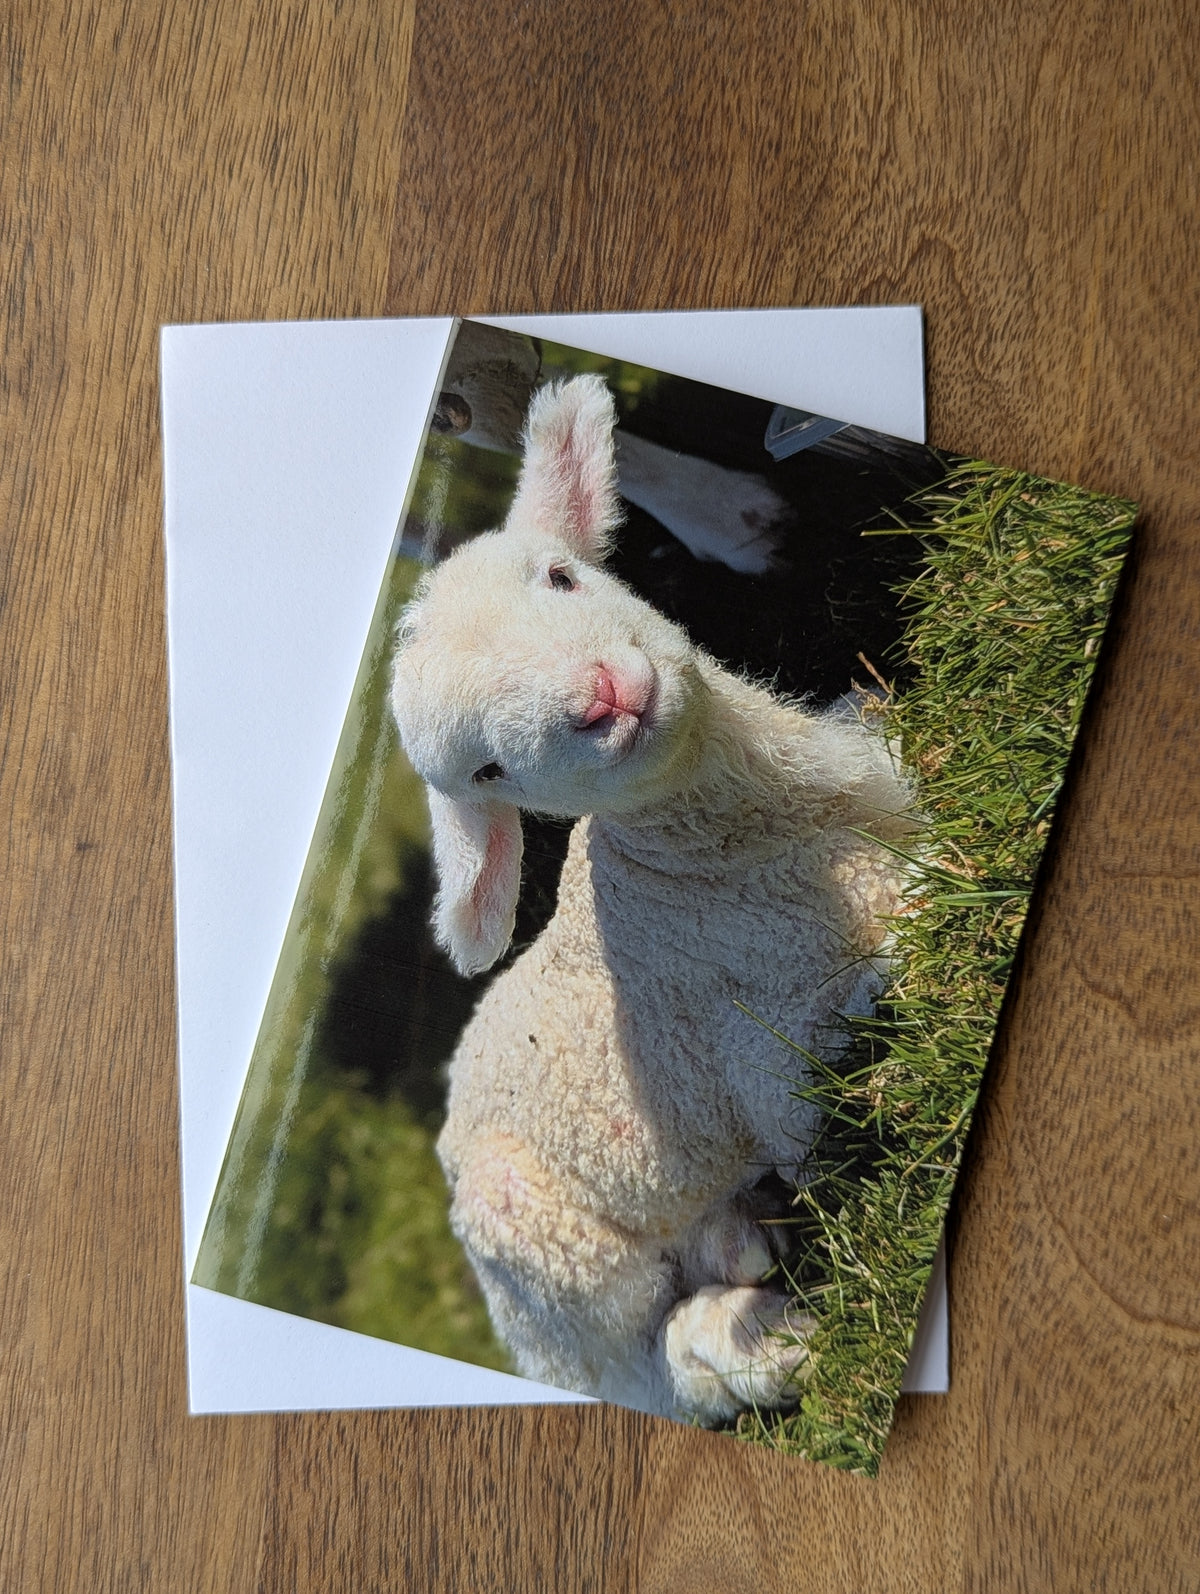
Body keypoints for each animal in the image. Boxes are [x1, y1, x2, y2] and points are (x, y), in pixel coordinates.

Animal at [389, 373, 914, 1424]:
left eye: (559, 577)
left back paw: (742, 1243)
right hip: (551, 1266)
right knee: (650, 1366)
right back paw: (762, 1344)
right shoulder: (775, 1049)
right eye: (488, 771)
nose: (602, 698)